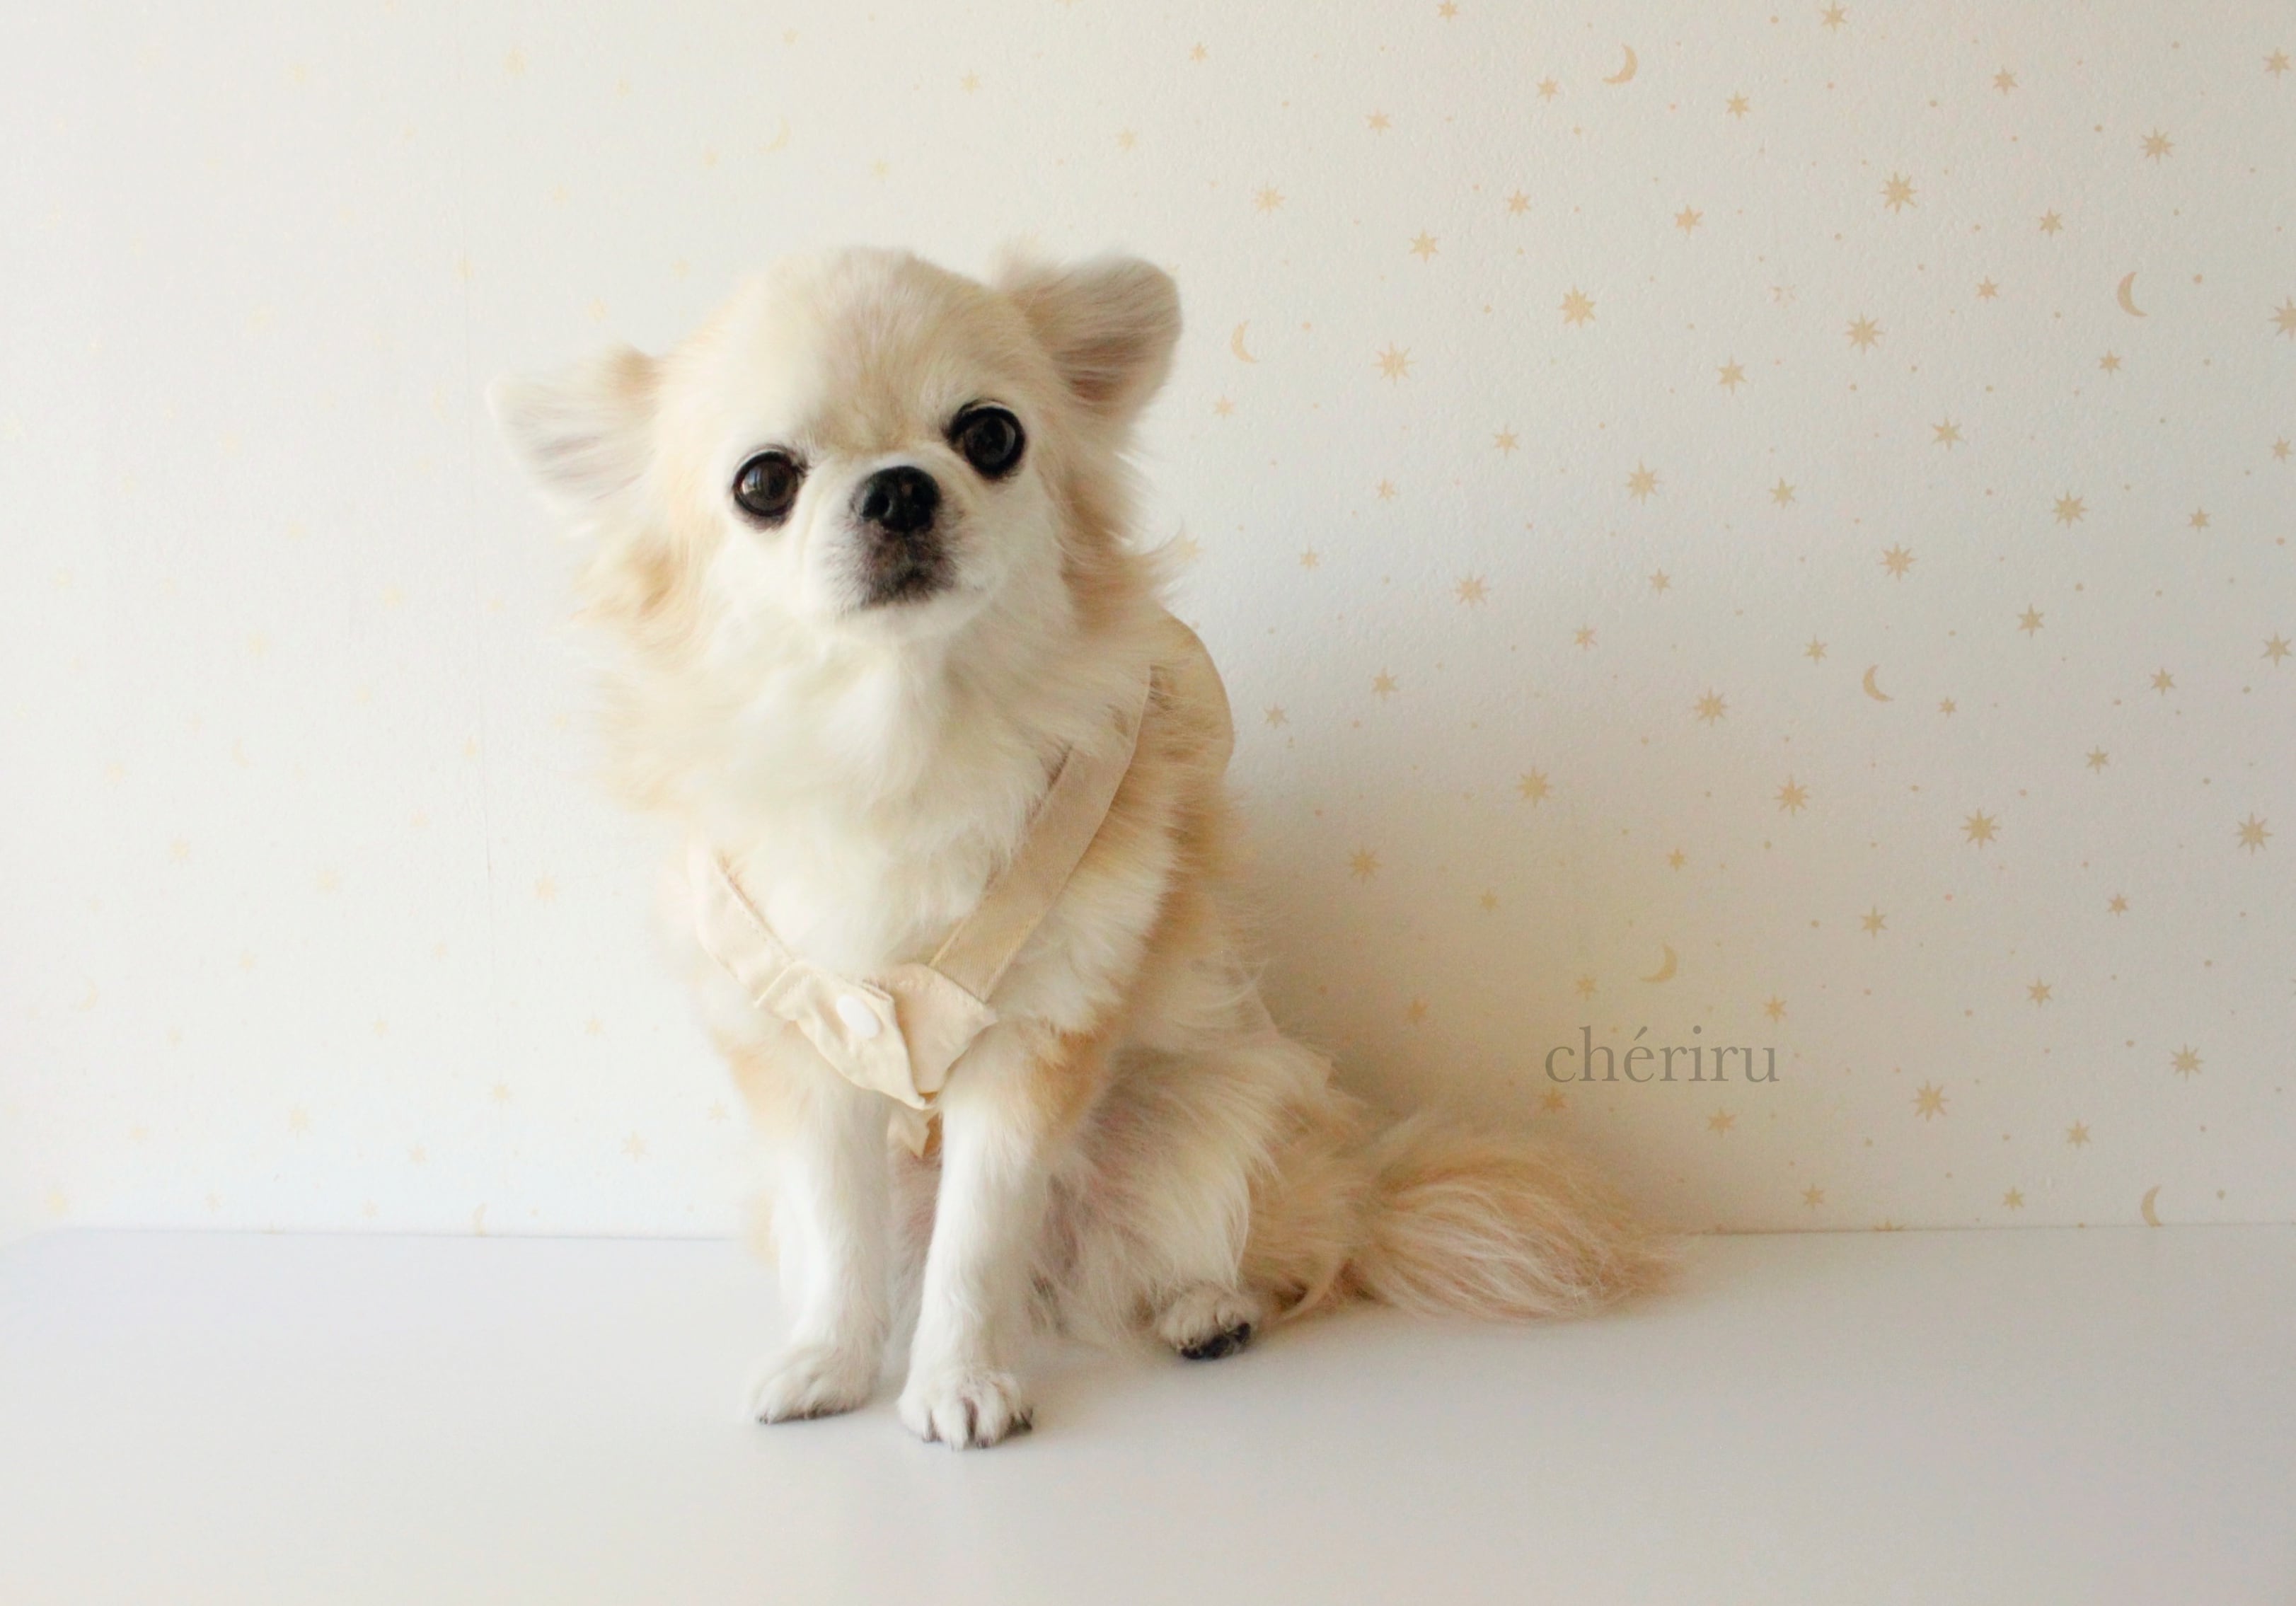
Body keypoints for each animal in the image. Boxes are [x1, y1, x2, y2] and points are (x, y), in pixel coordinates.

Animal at [491, 247, 1667, 1448]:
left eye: (990, 435)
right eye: (763, 483)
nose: (899, 486)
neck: (902, 737)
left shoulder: (1035, 1040)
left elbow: (975, 1246)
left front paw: (960, 1382)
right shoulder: (806, 1048)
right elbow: (836, 1233)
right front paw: (829, 1361)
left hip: (1211, 1119)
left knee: (1289, 1253)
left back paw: (1209, 1306)